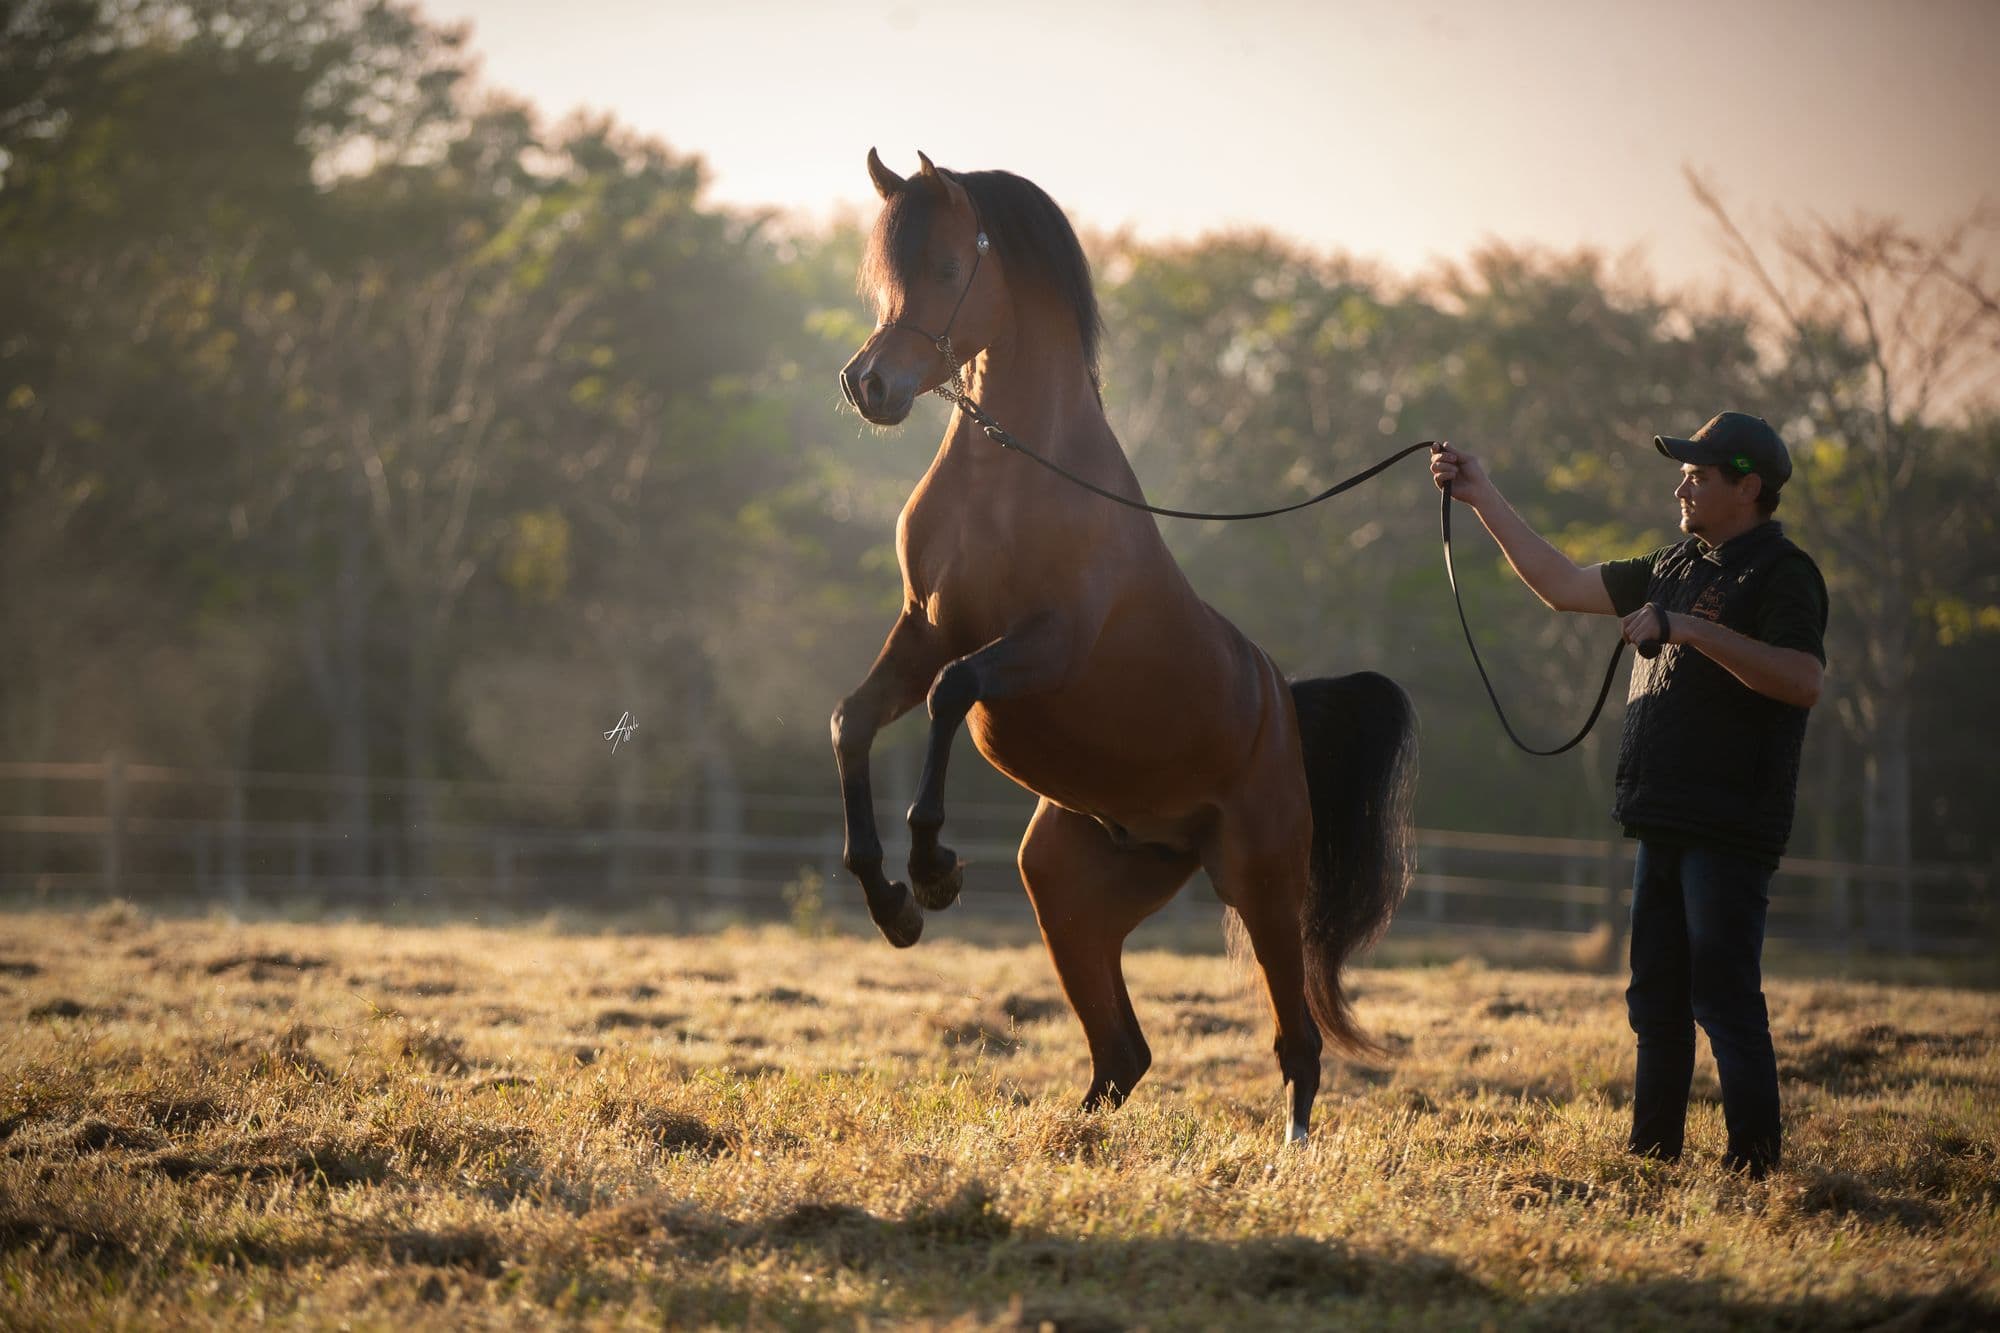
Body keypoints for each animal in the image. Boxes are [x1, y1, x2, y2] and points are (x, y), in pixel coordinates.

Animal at [830, 149, 1417, 1143]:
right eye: (883, 275)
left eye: (946, 268)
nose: (867, 385)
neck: (1012, 476)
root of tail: (1285, 703)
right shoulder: (923, 629)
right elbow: (853, 721)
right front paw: (891, 903)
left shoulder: (1045, 643)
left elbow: (953, 694)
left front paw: (934, 870)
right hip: (1071, 886)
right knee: (1123, 1052)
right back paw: (1073, 1138)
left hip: (1261, 883)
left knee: (1297, 1044)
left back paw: (1288, 1152)